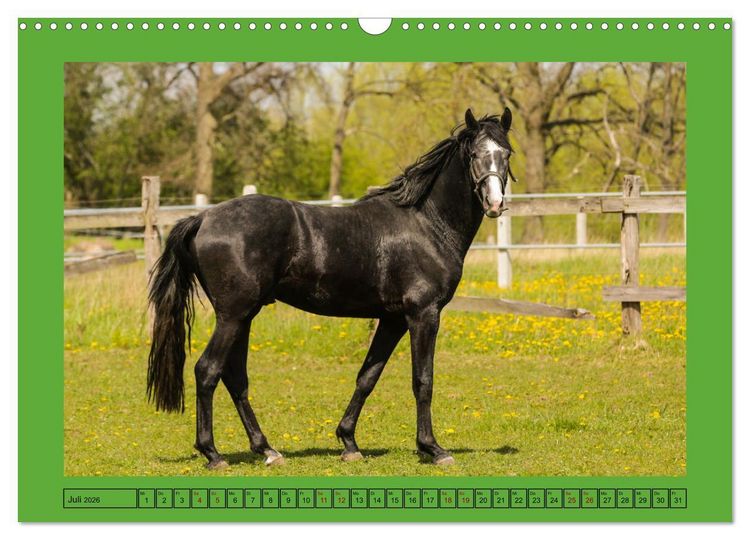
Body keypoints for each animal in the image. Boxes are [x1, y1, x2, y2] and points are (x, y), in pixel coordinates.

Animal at [147, 108, 515, 469]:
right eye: (474, 154)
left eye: (506, 153)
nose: (495, 204)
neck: (426, 223)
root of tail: (202, 219)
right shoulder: (423, 315)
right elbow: (423, 380)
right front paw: (433, 448)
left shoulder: (393, 319)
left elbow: (368, 376)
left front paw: (349, 442)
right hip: (233, 316)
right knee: (207, 370)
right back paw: (213, 454)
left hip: (243, 317)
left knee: (235, 377)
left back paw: (267, 450)